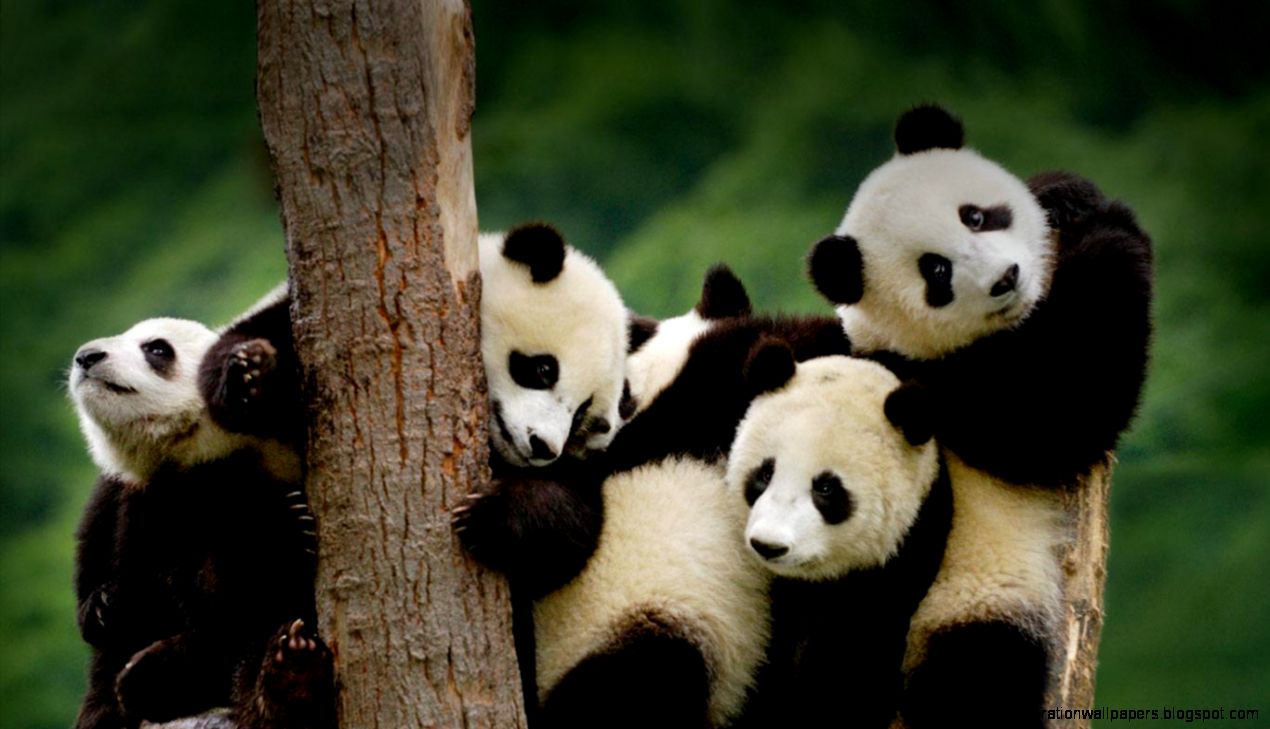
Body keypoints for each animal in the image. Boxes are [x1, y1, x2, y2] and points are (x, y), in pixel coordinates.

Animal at [806, 104, 1153, 728]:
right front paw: (1112, 230)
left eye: (975, 216)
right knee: (976, 679)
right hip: (968, 600)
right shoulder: (938, 387)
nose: (1006, 278)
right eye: (936, 272)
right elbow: (1060, 412)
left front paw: (1066, 194)